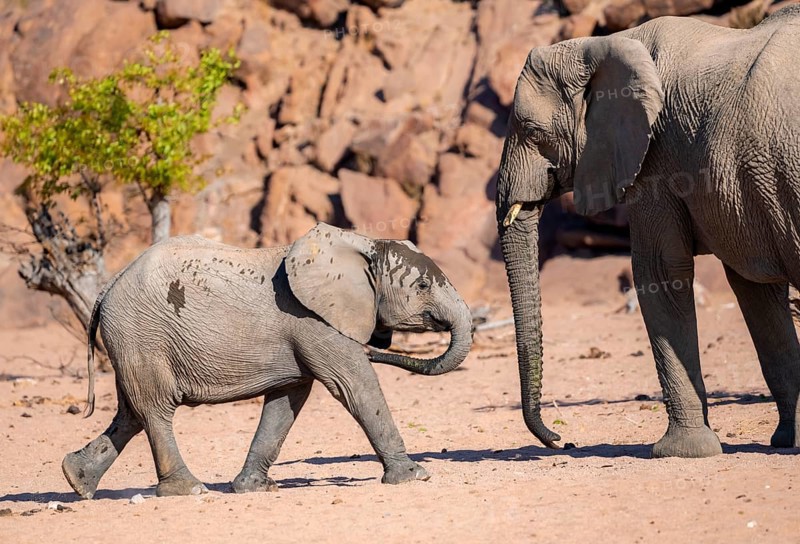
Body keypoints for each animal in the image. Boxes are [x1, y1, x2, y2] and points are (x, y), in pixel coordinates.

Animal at [62, 223, 472, 498]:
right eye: (422, 286)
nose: (377, 347)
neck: (364, 242)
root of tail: (107, 288)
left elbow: (286, 402)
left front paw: (255, 488)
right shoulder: (314, 321)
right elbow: (355, 386)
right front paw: (415, 475)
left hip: (133, 341)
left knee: (131, 413)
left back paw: (77, 482)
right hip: (142, 333)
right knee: (155, 410)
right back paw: (190, 490)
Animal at [496, 6, 800, 458]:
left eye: (533, 132)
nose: (560, 440)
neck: (605, 43)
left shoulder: (657, 158)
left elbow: (658, 272)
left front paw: (680, 452)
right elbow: (754, 288)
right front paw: (784, 441)